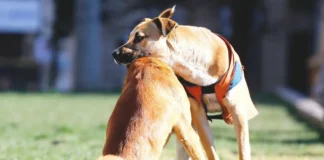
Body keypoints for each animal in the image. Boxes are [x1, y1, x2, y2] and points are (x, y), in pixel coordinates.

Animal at [112, 5, 260, 159]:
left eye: (139, 37)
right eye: (129, 37)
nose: (114, 53)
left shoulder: (237, 111)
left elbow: (243, 149)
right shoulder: (199, 115)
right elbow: (210, 151)